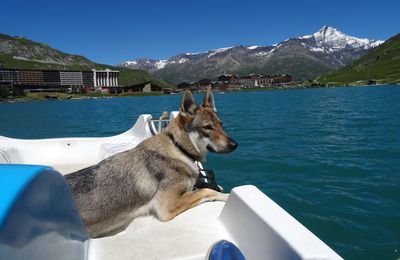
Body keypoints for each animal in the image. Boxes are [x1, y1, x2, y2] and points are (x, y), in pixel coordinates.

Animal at [64, 88, 236, 238]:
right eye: (207, 127)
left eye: (221, 124)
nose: (235, 145)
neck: (178, 148)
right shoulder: (167, 206)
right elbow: (206, 191)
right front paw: (226, 196)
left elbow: (203, 189)